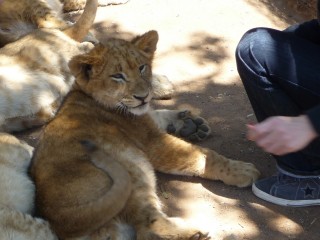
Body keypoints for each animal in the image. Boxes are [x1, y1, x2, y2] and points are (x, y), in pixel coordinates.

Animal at [30, 30, 260, 238]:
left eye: (142, 68)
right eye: (117, 76)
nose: (143, 96)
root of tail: (62, 221)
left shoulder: (149, 121)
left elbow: (158, 114)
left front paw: (191, 124)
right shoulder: (154, 143)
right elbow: (204, 156)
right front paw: (241, 170)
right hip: (131, 166)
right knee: (147, 227)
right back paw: (195, 231)